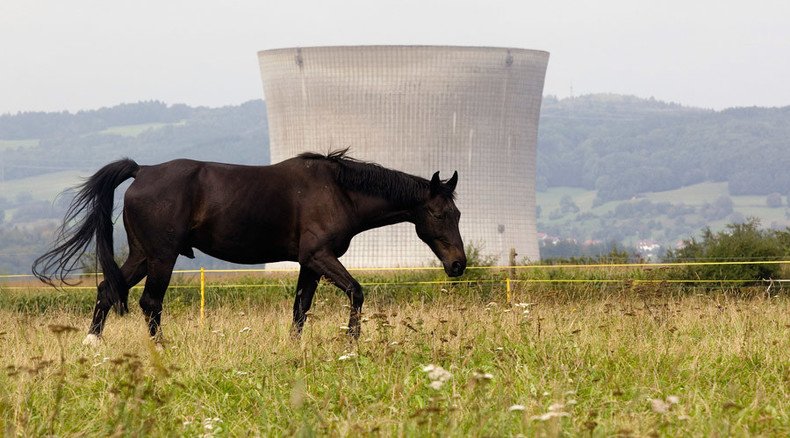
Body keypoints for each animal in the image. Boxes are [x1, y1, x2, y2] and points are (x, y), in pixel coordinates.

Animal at [32, 151, 464, 346]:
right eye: (440, 214)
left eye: (458, 214)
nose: (458, 265)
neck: (339, 190)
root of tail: (143, 171)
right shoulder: (321, 257)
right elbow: (357, 292)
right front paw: (352, 341)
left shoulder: (309, 264)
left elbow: (300, 308)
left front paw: (294, 348)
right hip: (161, 257)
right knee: (149, 302)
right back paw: (160, 348)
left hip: (141, 255)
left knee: (108, 289)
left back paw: (92, 343)